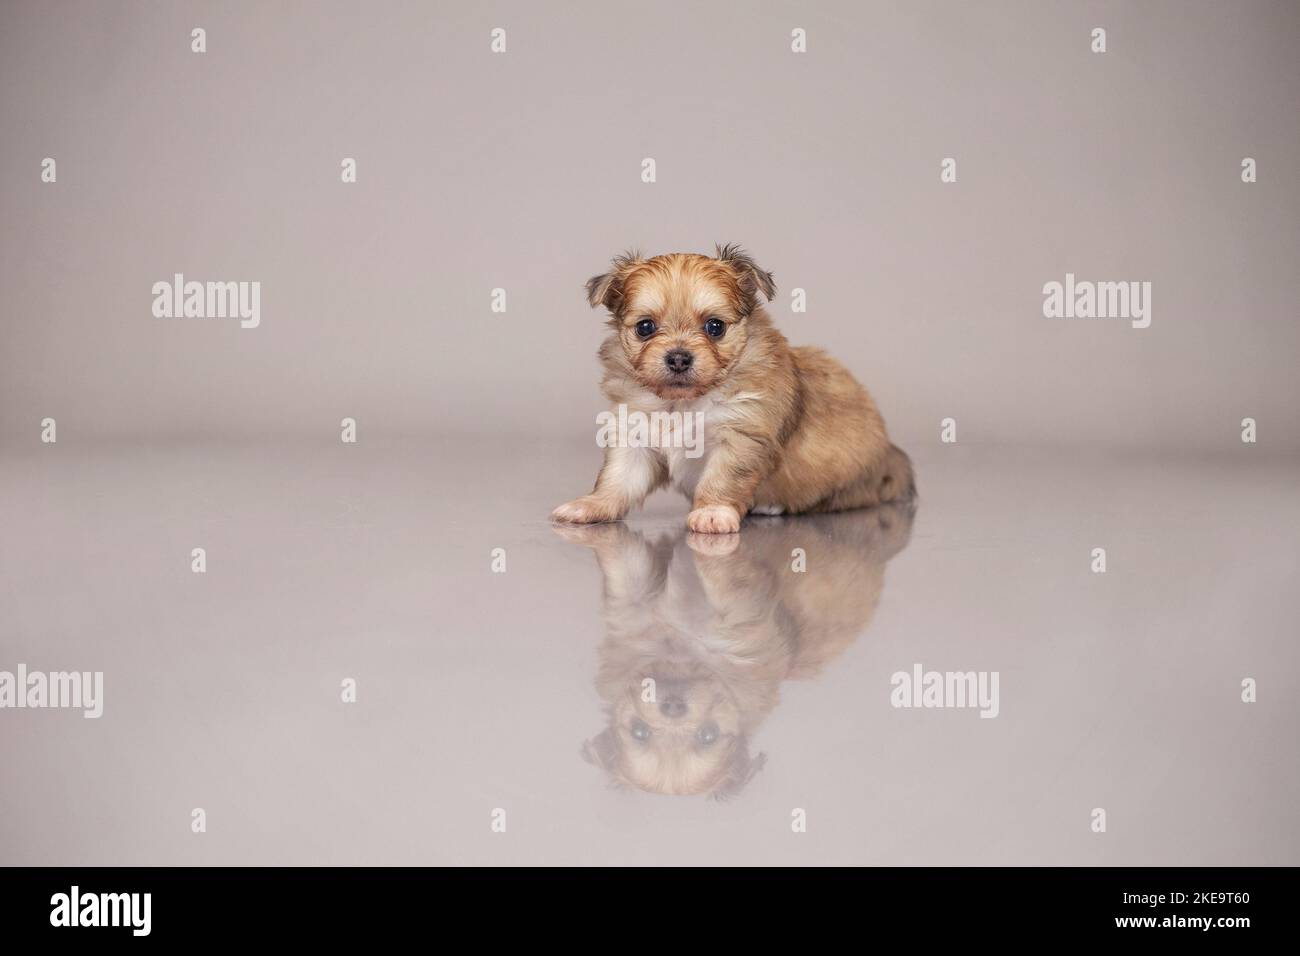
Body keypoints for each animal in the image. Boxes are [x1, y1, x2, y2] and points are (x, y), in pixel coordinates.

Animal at [548, 243, 915, 535]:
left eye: (715, 327)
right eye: (645, 327)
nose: (678, 357)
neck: (682, 404)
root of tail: (891, 457)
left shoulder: (741, 437)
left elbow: (722, 479)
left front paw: (712, 512)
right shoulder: (634, 437)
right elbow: (617, 480)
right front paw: (591, 505)